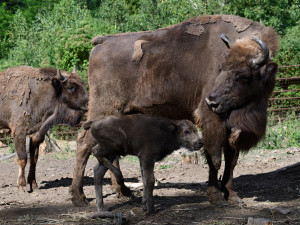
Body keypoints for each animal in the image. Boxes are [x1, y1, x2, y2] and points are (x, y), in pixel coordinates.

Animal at [70, 14, 278, 206]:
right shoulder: (211, 120)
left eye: (244, 75)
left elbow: (232, 160)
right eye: (220, 68)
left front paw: (233, 196)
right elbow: (215, 157)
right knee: (83, 143)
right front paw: (215, 196)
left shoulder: (231, 128)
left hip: (119, 115)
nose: (211, 101)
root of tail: (103, 41)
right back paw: (79, 197)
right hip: (103, 108)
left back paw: (123, 191)